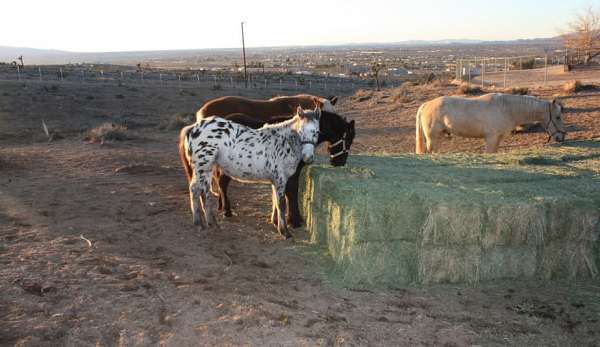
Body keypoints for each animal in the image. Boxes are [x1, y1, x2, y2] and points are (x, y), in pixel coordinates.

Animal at [178, 107, 322, 238]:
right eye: (300, 131)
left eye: (317, 132)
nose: (308, 157)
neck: (283, 143)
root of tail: (193, 127)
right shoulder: (280, 179)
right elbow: (281, 204)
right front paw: (285, 232)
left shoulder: (275, 180)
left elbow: (275, 201)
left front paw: (276, 224)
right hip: (202, 166)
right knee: (195, 189)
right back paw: (199, 224)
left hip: (207, 169)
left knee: (205, 192)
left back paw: (211, 223)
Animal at [214, 110, 354, 227]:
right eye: (348, 140)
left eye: (317, 132)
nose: (339, 163)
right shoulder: (290, 174)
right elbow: (291, 193)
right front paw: (294, 221)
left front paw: (277, 219)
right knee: (222, 183)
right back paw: (227, 211)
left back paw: (222, 206)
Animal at [418, 94, 568, 154]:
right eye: (558, 117)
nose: (562, 138)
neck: (506, 109)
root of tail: (426, 105)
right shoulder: (491, 138)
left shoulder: (498, 139)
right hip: (432, 138)